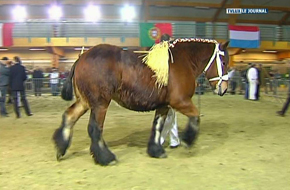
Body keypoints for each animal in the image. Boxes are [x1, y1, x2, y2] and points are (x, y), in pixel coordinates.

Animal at [52, 38, 229, 165]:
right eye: (224, 62)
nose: (224, 88)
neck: (182, 61)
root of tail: (82, 57)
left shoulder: (163, 106)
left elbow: (157, 127)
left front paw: (156, 150)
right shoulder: (180, 102)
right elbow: (196, 116)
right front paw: (187, 140)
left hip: (85, 102)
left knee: (69, 116)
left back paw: (61, 148)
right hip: (100, 103)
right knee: (95, 128)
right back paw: (106, 158)